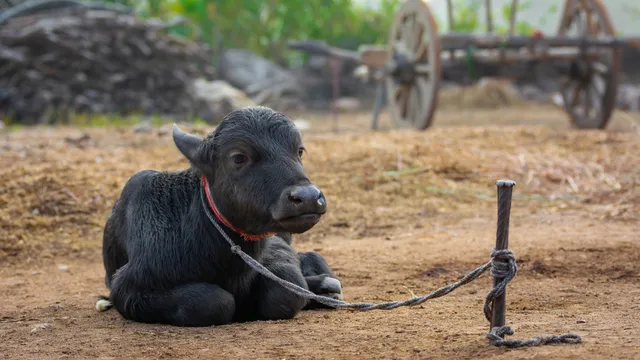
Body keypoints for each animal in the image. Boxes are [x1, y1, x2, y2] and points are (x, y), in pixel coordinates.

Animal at [97, 107, 342, 326]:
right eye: (239, 157)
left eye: (299, 151)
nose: (308, 197)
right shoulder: (128, 288)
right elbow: (216, 301)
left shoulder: (275, 250)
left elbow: (286, 292)